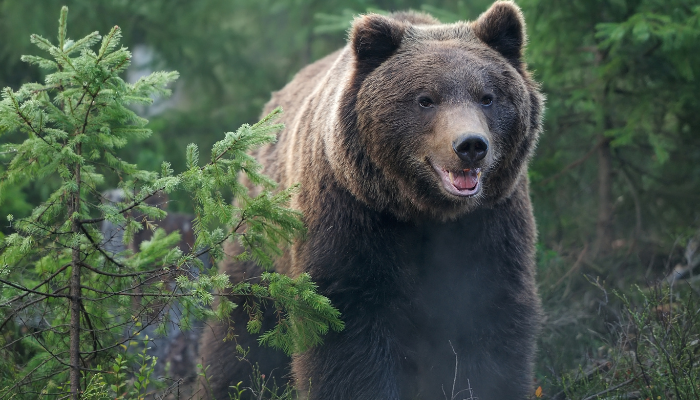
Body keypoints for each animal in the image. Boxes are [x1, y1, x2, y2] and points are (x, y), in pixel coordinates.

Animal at [200, 1, 544, 398]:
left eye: (487, 97)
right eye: (425, 99)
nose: (470, 145)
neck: (424, 211)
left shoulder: (490, 221)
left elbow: (490, 318)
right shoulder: (352, 214)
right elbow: (347, 327)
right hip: (263, 237)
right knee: (242, 320)